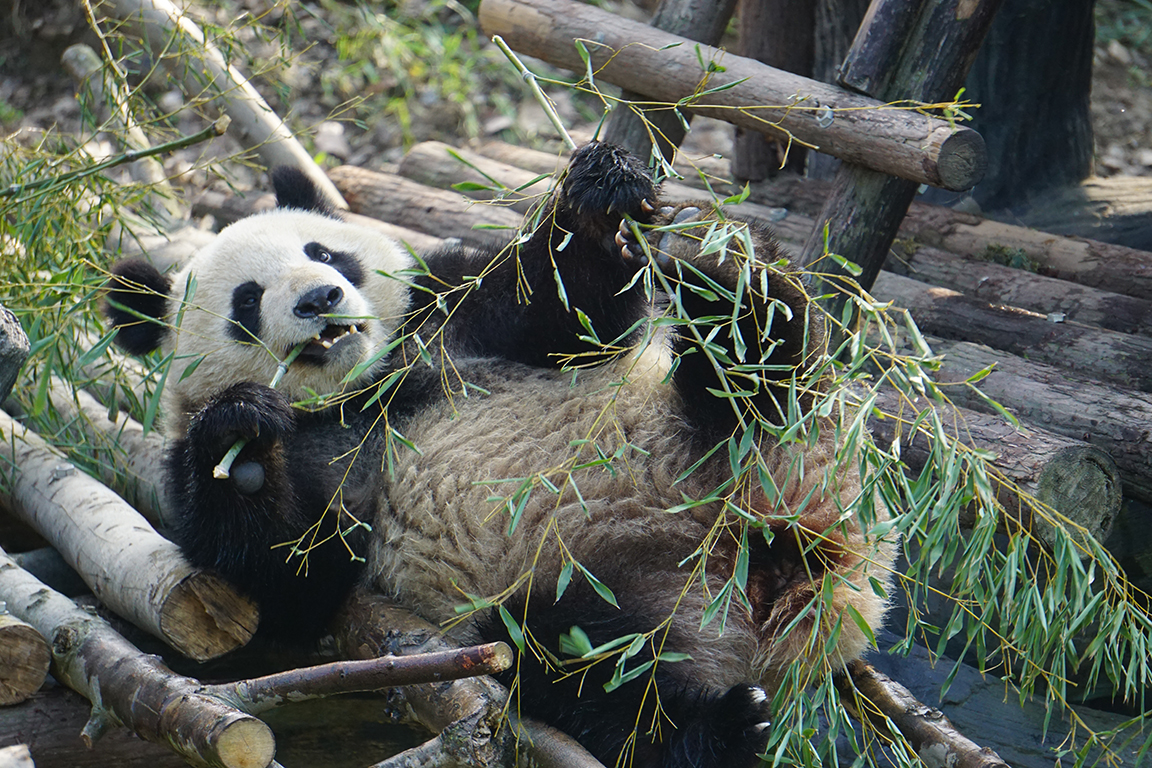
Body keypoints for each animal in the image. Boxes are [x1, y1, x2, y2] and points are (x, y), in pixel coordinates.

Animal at [104, 142, 894, 768]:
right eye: (246, 301)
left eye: (326, 253)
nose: (321, 299)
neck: (372, 384)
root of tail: (788, 572)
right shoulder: (314, 454)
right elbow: (291, 580)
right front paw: (241, 444)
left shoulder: (451, 318)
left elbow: (565, 313)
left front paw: (597, 199)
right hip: (605, 590)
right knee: (587, 671)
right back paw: (724, 726)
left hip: (742, 449)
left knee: (758, 385)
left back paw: (735, 292)